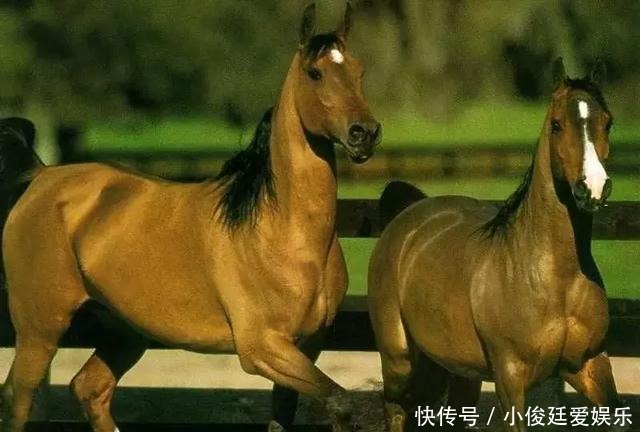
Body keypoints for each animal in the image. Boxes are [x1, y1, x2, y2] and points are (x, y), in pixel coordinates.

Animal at [0, 3, 380, 431]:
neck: (282, 233)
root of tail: (42, 177)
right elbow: (341, 401)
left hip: (124, 331)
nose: (364, 133)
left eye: (359, 71)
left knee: (89, 388)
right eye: (315, 73)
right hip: (40, 329)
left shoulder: (308, 346)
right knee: (19, 400)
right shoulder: (263, 349)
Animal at [368, 58, 622, 432]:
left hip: (455, 369)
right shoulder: (510, 376)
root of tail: (406, 218)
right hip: (398, 357)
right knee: (396, 408)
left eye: (608, 122)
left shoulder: (589, 363)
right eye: (557, 125)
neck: (553, 278)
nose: (592, 187)